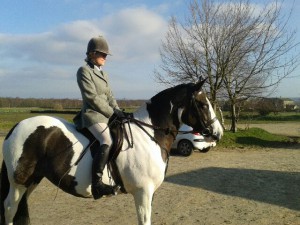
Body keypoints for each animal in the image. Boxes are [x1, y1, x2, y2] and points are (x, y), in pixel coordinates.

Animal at [0, 80, 223, 225]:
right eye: (203, 104)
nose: (218, 132)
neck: (150, 135)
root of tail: (16, 127)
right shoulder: (143, 192)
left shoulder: (149, 193)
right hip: (19, 183)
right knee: (10, 209)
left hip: (33, 181)